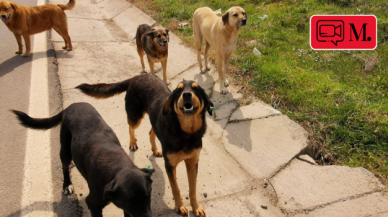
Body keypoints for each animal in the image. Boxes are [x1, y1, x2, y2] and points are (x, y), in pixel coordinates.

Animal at [12, 102, 155, 217]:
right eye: (131, 202)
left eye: (148, 196)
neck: (119, 167)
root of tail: (71, 106)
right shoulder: (93, 203)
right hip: (65, 150)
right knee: (65, 166)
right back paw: (67, 185)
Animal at [77, 73, 214, 216]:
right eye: (178, 90)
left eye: (196, 89)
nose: (186, 94)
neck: (186, 132)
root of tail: (137, 76)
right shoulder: (170, 165)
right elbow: (175, 188)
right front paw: (180, 206)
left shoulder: (193, 163)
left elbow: (193, 189)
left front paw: (196, 207)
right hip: (135, 116)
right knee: (131, 127)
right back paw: (132, 143)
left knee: (151, 131)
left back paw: (155, 149)